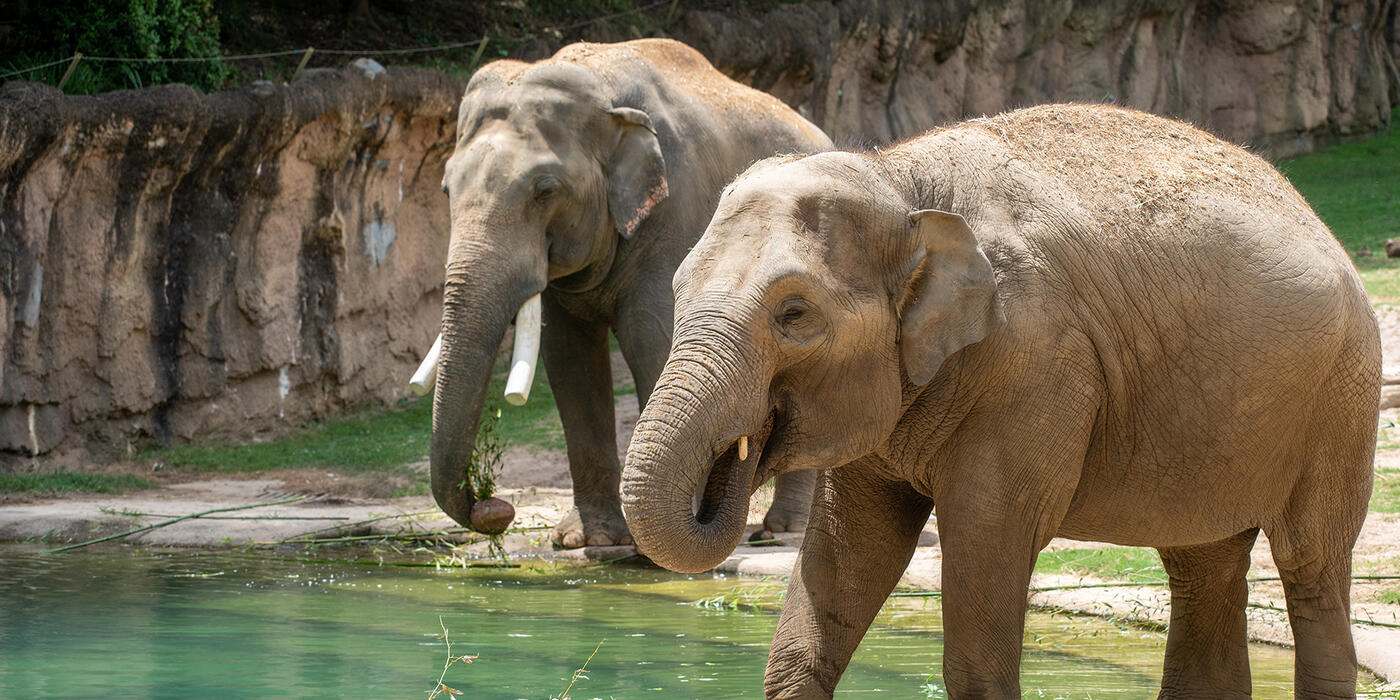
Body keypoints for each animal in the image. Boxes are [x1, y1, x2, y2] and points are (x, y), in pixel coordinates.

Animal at [431, 39, 832, 548]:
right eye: (446, 188)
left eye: (545, 190)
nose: (497, 507)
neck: (603, 93)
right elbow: (569, 358)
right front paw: (590, 541)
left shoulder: (675, 213)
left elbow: (651, 338)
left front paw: (658, 545)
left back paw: (780, 531)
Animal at [621, 104, 1379, 698]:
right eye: (679, 288)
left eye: (795, 315)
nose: (736, 458)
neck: (899, 181)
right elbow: (849, 550)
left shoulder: (1038, 360)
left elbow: (986, 539)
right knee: (1203, 565)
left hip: (1343, 396)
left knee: (1310, 562)